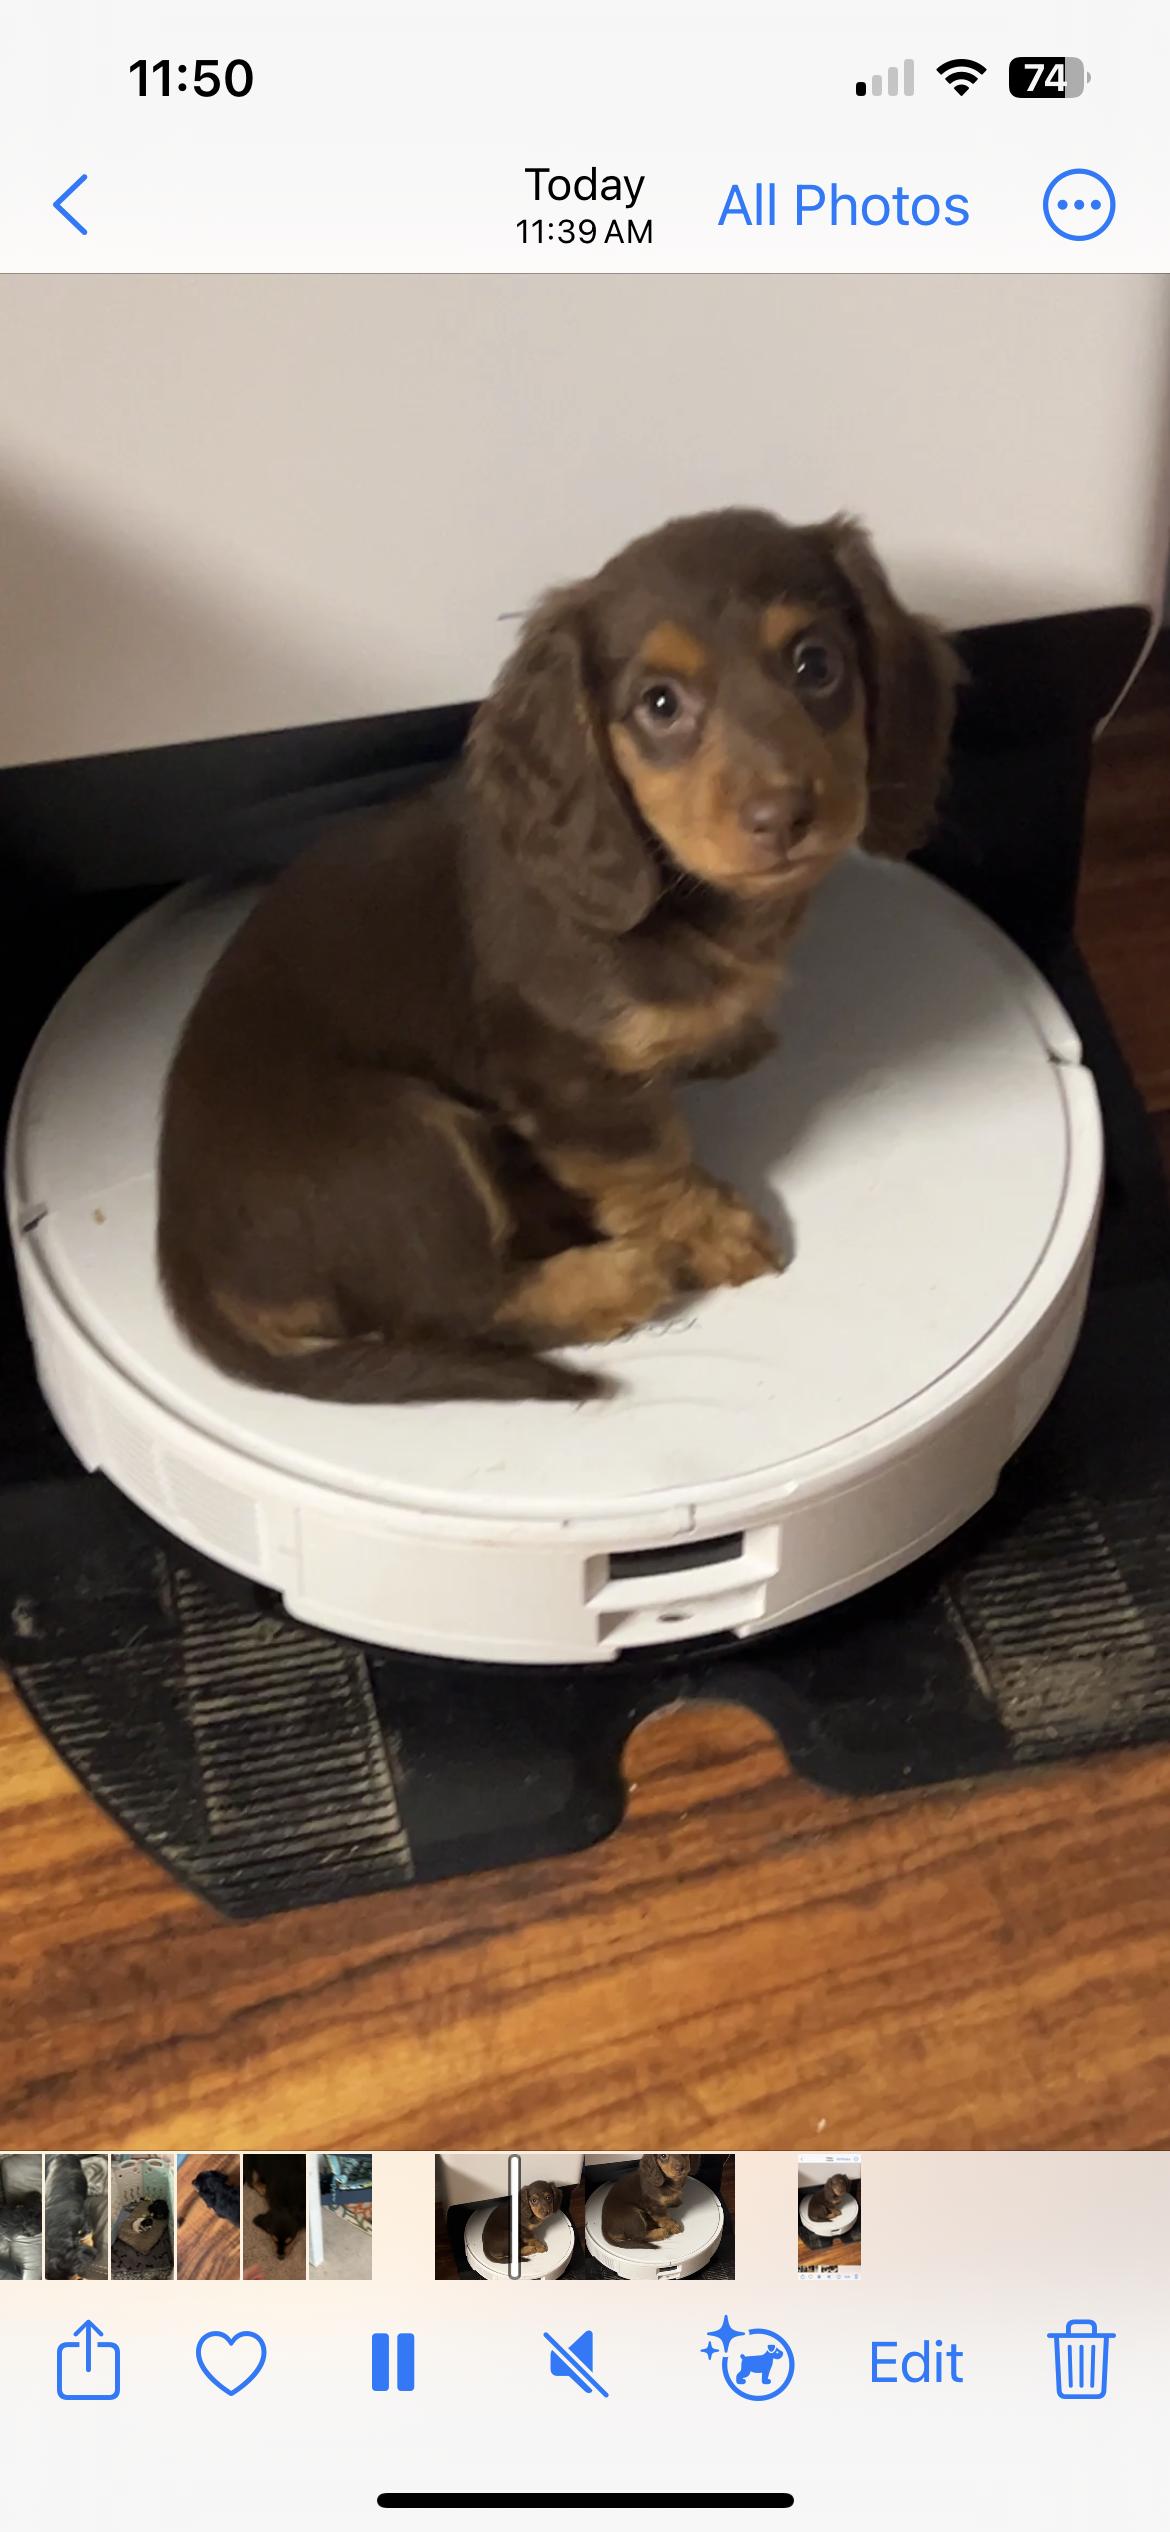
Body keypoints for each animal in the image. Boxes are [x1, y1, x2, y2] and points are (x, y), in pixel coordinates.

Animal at [158, 507, 956, 1403]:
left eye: (815, 664)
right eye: (659, 703)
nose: (781, 816)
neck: (680, 896)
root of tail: (191, 1271)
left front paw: (724, 1036)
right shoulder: (568, 1073)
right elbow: (650, 1160)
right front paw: (709, 1231)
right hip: (401, 1142)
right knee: (455, 1301)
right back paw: (613, 1280)